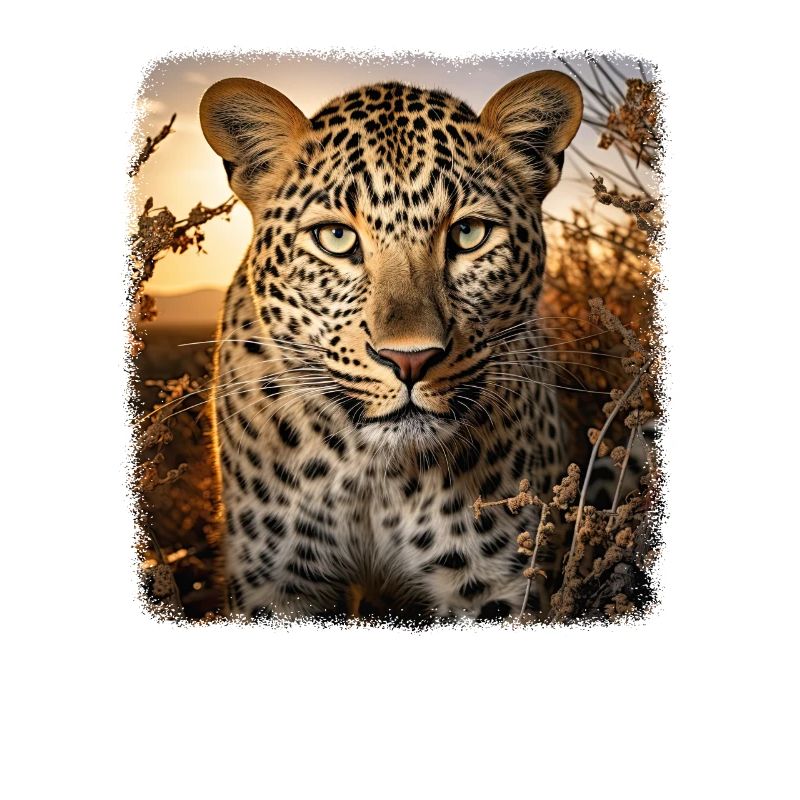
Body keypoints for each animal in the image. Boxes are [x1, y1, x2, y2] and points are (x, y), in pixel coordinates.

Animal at [199, 70, 583, 622]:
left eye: (469, 233)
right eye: (336, 238)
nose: (410, 359)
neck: (376, 478)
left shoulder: (494, 583)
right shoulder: (278, 582)